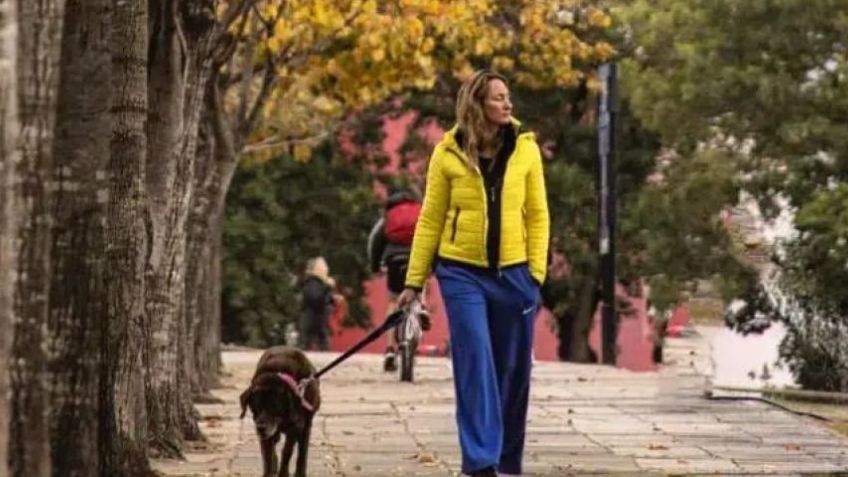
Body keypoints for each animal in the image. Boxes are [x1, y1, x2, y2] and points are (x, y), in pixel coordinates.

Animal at [240, 346, 322, 476]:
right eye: (255, 407)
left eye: (274, 407)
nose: (260, 428)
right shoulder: (267, 431)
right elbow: (267, 455)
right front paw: (269, 472)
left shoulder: (296, 427)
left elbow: (287, 452)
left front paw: (284, 473)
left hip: (306, 427)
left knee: (302, 450)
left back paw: (299, 471)